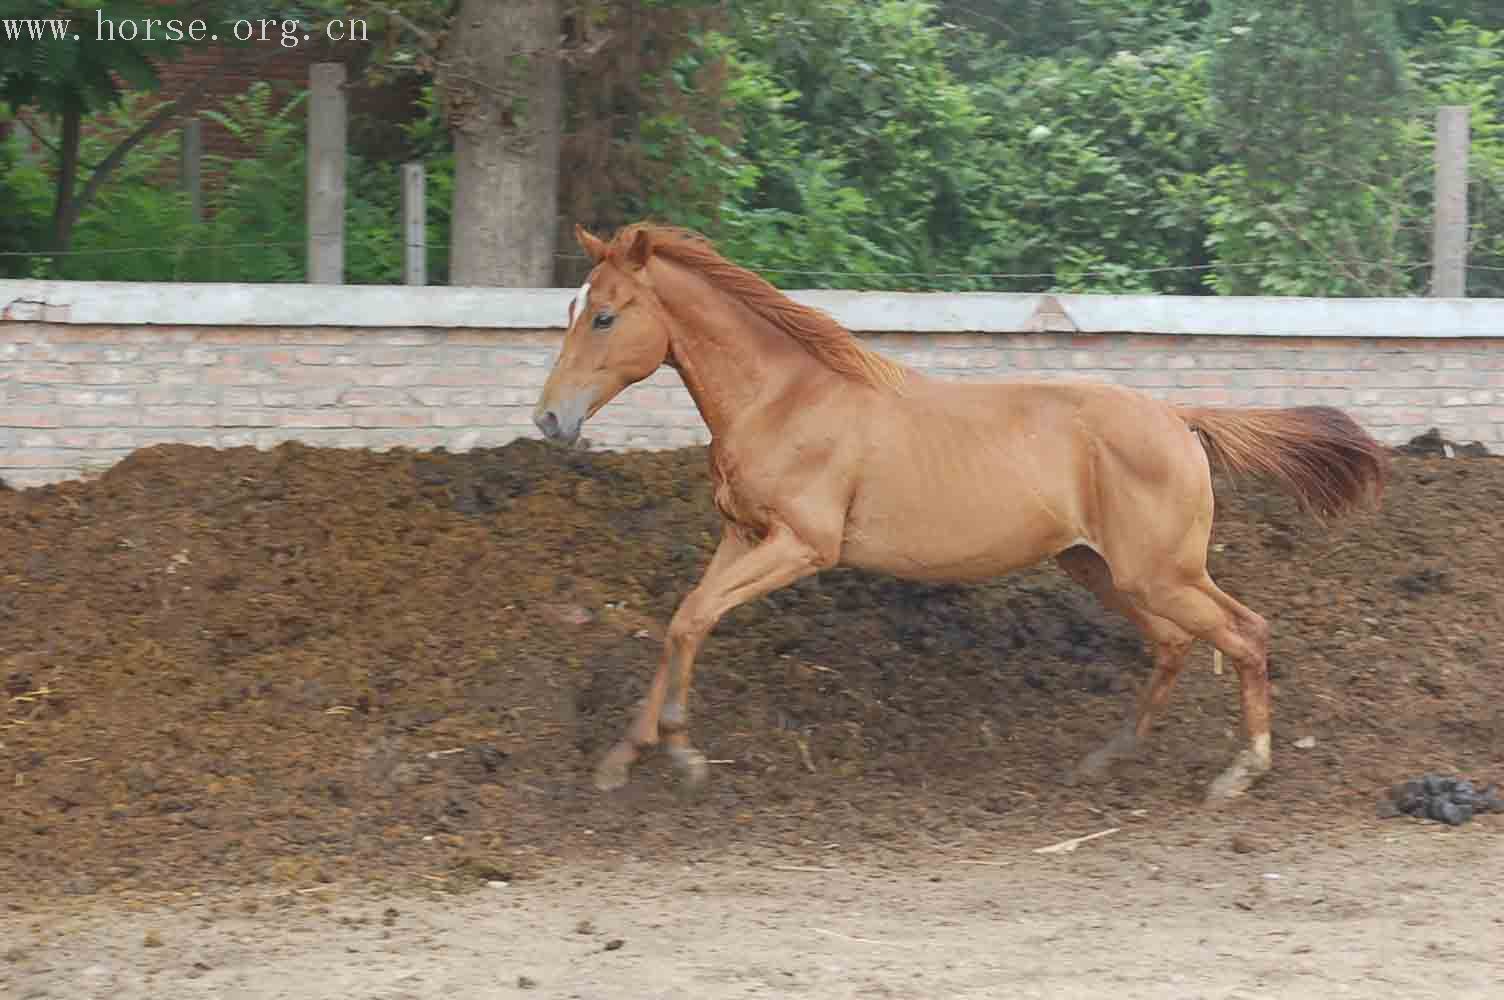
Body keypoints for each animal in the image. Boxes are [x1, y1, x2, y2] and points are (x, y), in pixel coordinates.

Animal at [529, 221, 1383, 806]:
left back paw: (1240, 772)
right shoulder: (742, 536)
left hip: (1160, 572)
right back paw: (1110, 756)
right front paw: (628, 756)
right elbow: (685, 616)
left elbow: (692, 618)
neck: (786, 399)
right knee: (1176, 644)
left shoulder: (803, 545)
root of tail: (1178, 418)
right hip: (1103, 569)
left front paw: (680, 754)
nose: (549, 419)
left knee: (1246, 632)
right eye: (574, 308)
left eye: (605, 316)